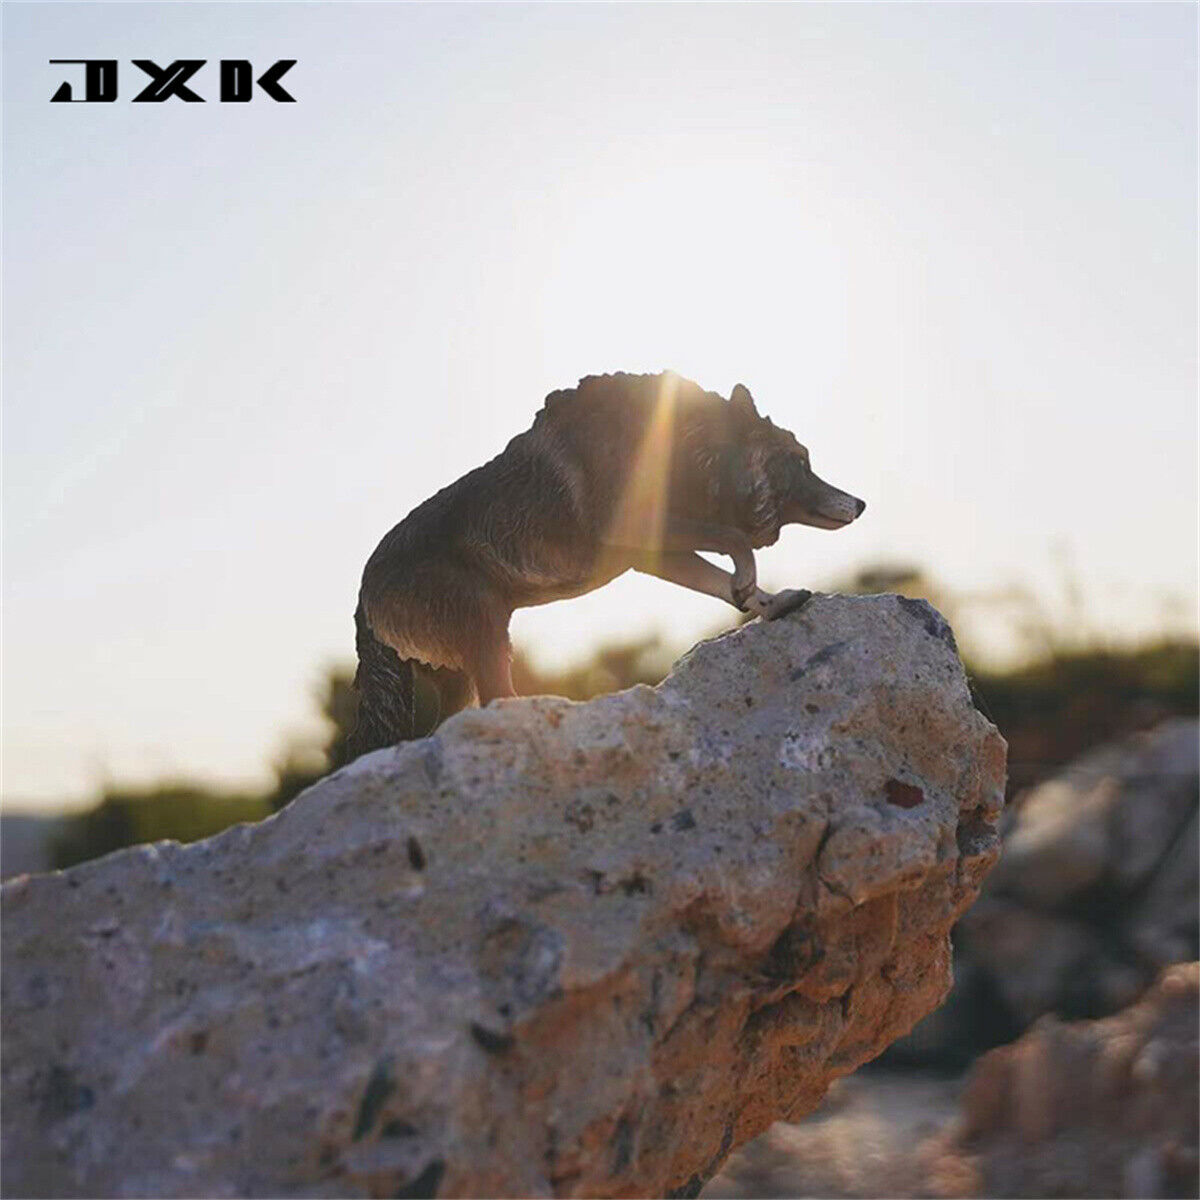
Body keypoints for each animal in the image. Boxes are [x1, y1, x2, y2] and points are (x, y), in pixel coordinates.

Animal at [347, 372, 865, 759]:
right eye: (802, 461)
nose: (861, 504)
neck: (688, 450)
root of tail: (361, 593)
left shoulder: (654, 555)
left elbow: (722, 579)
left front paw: (769, 602)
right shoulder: (638, 531)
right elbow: (736, 541)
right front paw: (748, 582)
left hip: (461, 672)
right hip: (488, 634)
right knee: (495, 701)